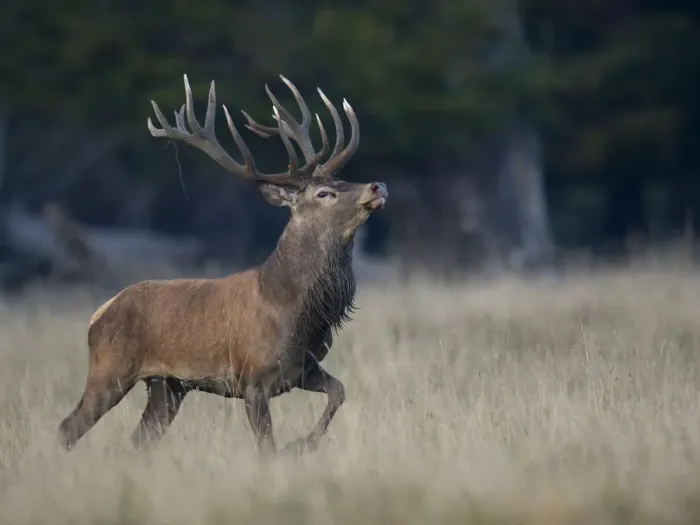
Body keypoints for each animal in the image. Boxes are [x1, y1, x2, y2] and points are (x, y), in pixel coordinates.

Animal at [57, 74, 387, 455]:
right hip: (109, 369)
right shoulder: (252, 379)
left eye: (338, 181)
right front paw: (294, 445)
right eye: (324, 193)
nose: (377, 185)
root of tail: (98, 314)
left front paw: (303, 443)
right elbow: (266, 447)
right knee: (68, 427)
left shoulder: (303, 367)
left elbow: (340, 392)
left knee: (141, 438)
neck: (293, 310)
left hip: (167, 385)